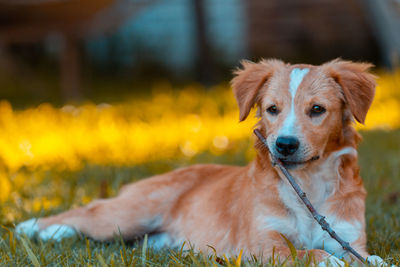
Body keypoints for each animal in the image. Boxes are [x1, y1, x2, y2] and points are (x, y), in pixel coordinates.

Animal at [16, 59, 390, 266]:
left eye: (317, 110)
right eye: (272, 109)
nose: (284, 145)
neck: (307, 183)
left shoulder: (346, 237)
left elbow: (363, 256)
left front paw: (375, 262)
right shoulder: (262, 245)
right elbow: (303, 253)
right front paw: (328, 263)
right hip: (128, 214)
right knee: (86, 213)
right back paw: (34, 227)